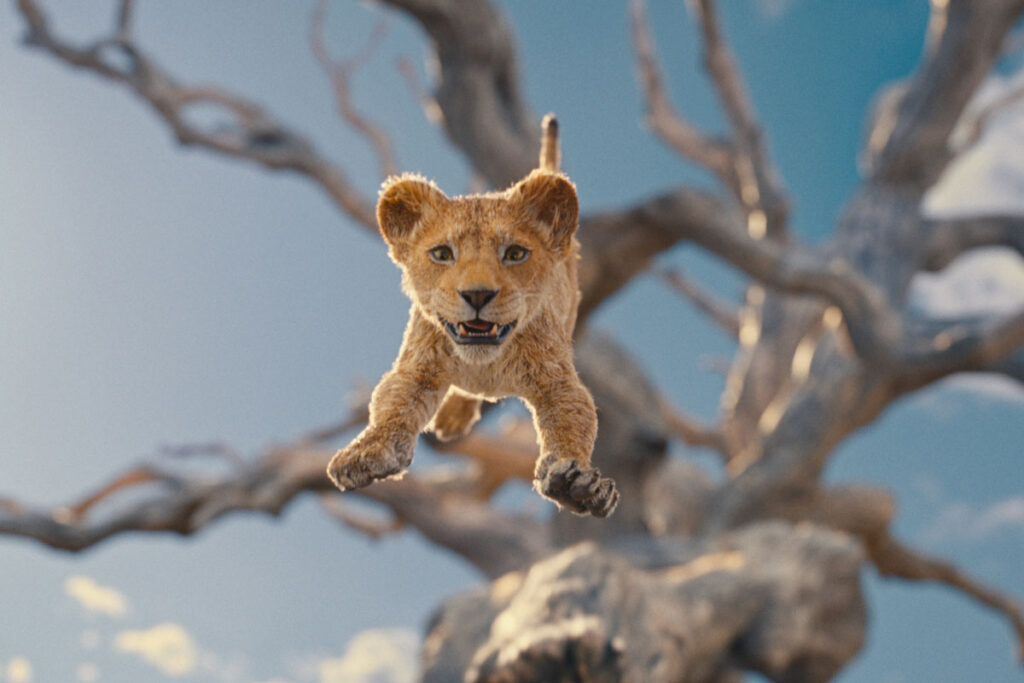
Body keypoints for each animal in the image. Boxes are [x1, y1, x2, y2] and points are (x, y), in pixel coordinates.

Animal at [327, 116, 618, 517]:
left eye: (515, 254)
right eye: (442, 254)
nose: (477, 294)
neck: (484, 363)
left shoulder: (557, 381)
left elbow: (573, 421)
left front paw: (576, 484)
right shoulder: (417, 367)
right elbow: (391, 405)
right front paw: (365, 452)